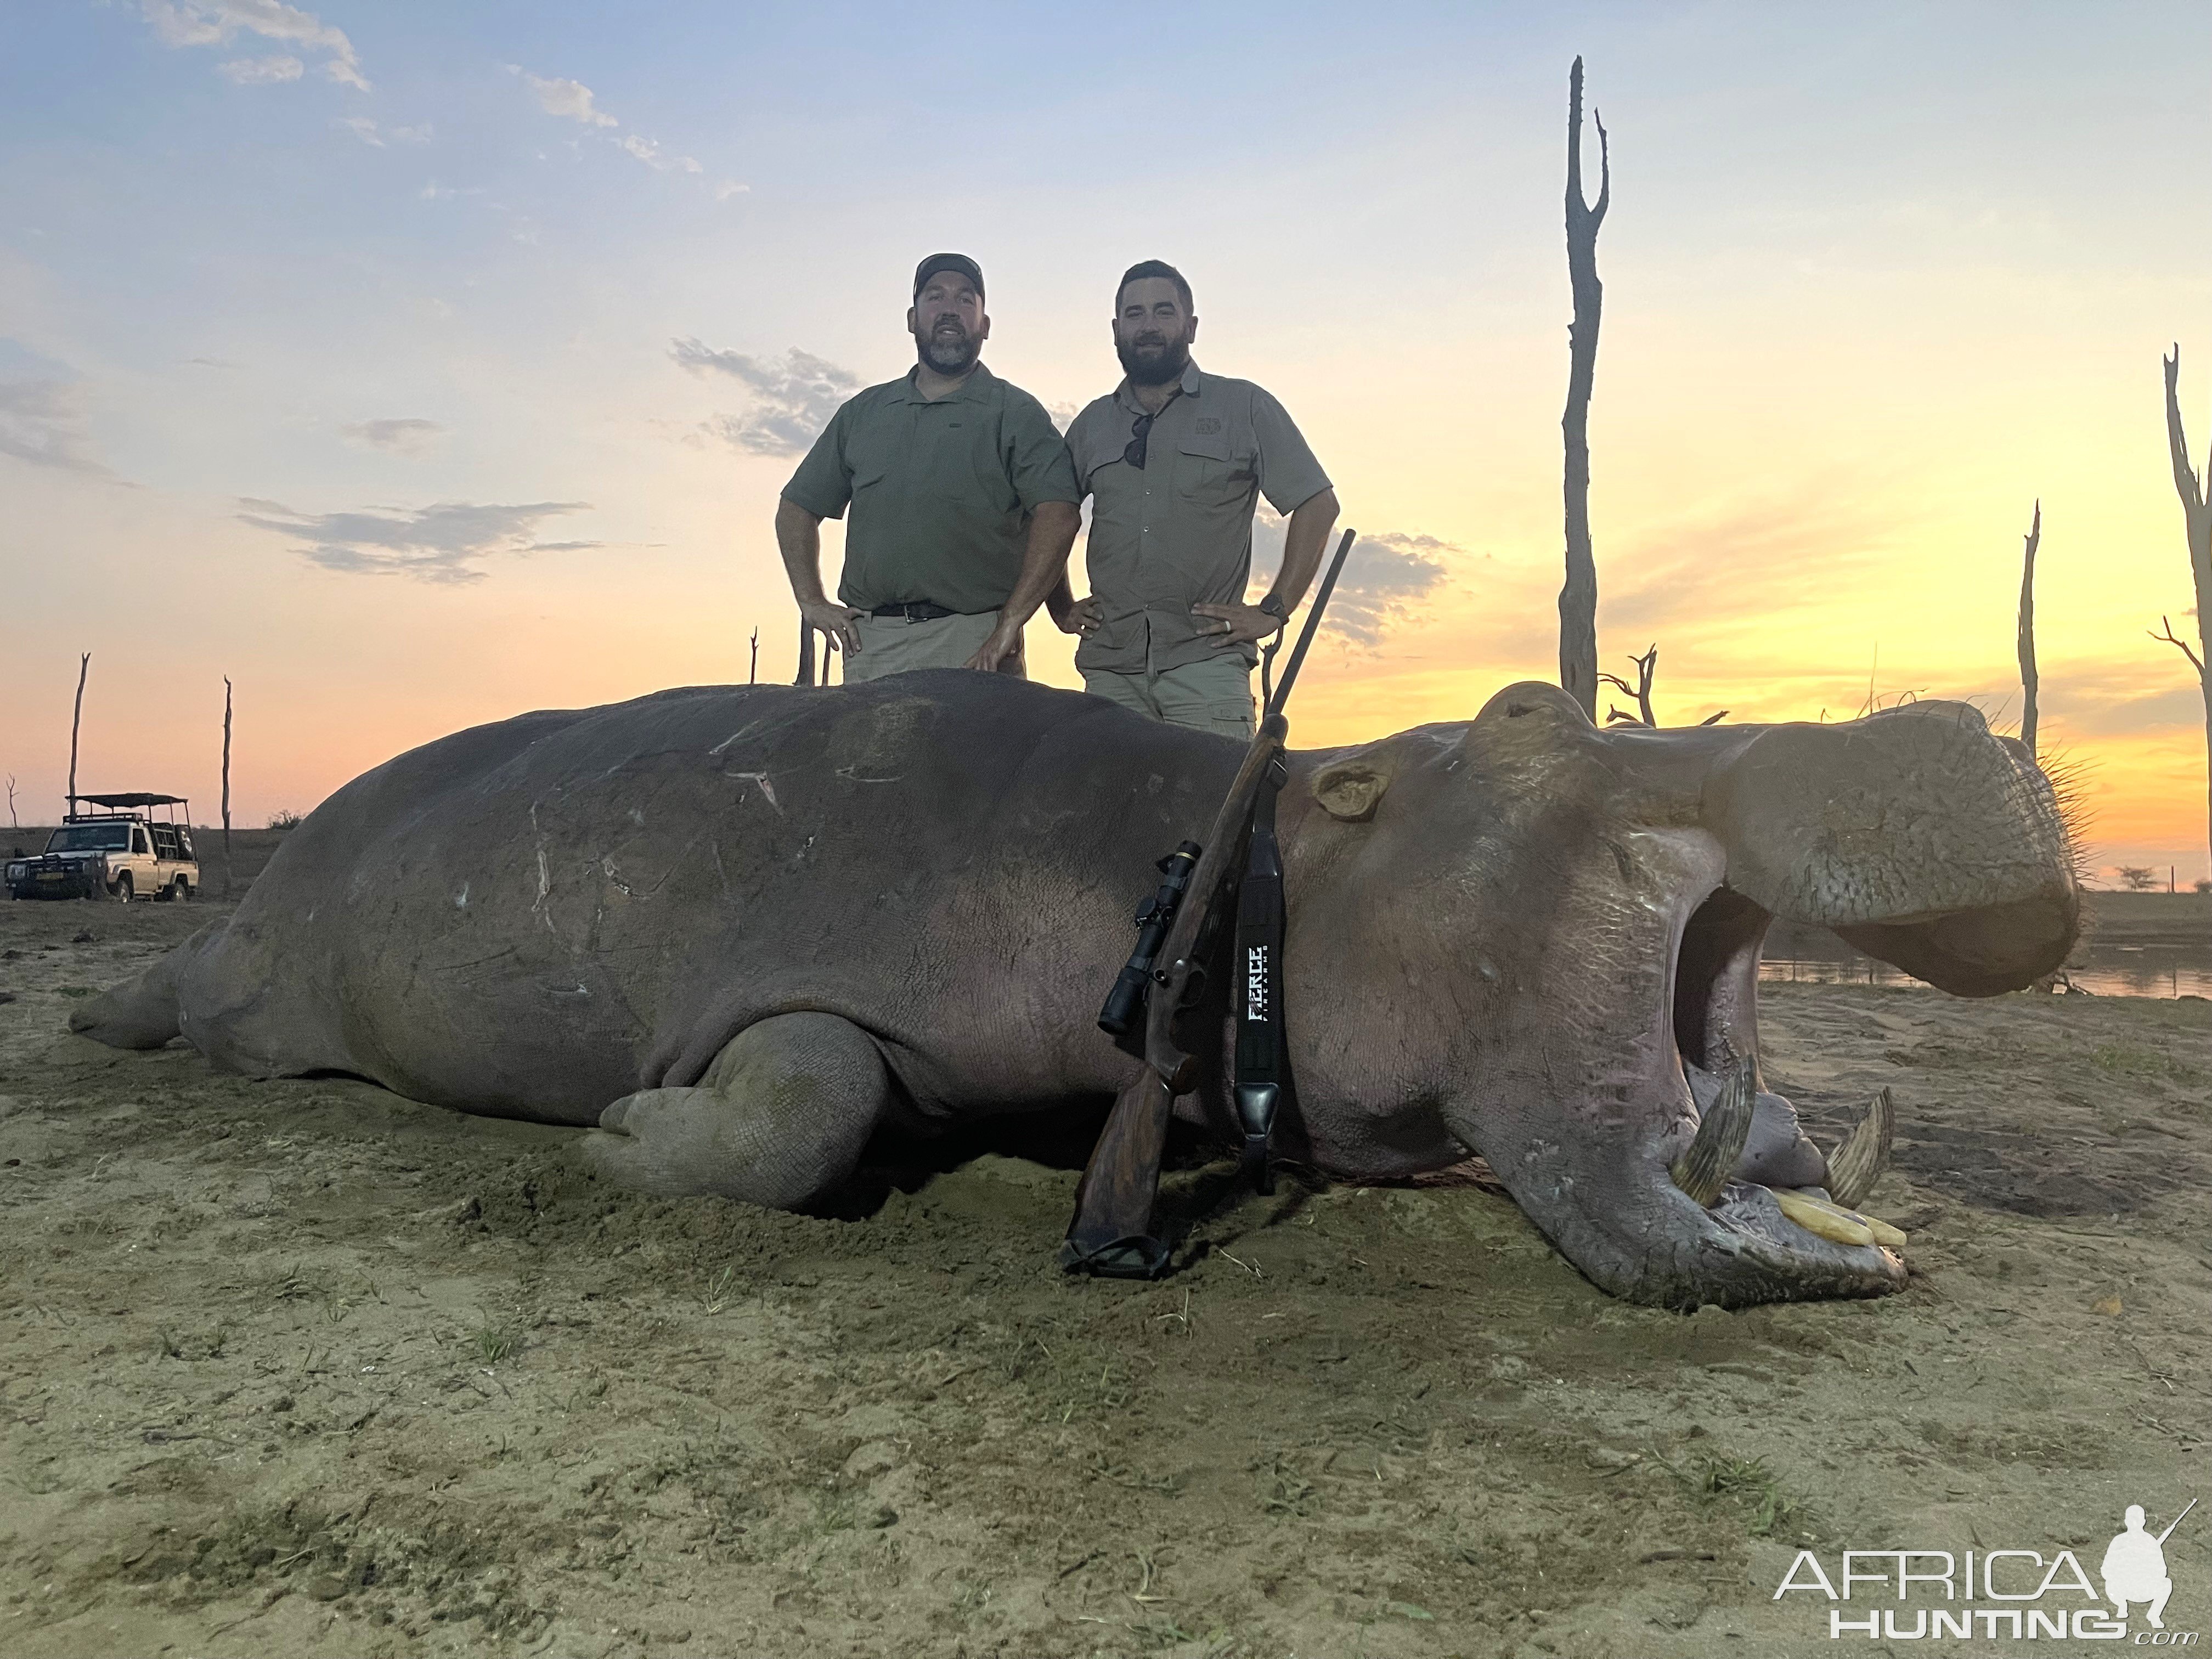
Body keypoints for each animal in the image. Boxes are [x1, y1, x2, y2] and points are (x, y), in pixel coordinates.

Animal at [69, 676, 2070, 1309]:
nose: (1949, 716)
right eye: (1525, 716)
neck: (1265, 866)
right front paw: (629, 1132)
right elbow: (808, 1105)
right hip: (248, 952)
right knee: (183, 987)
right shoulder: (812, 972)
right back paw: (94, 1027)